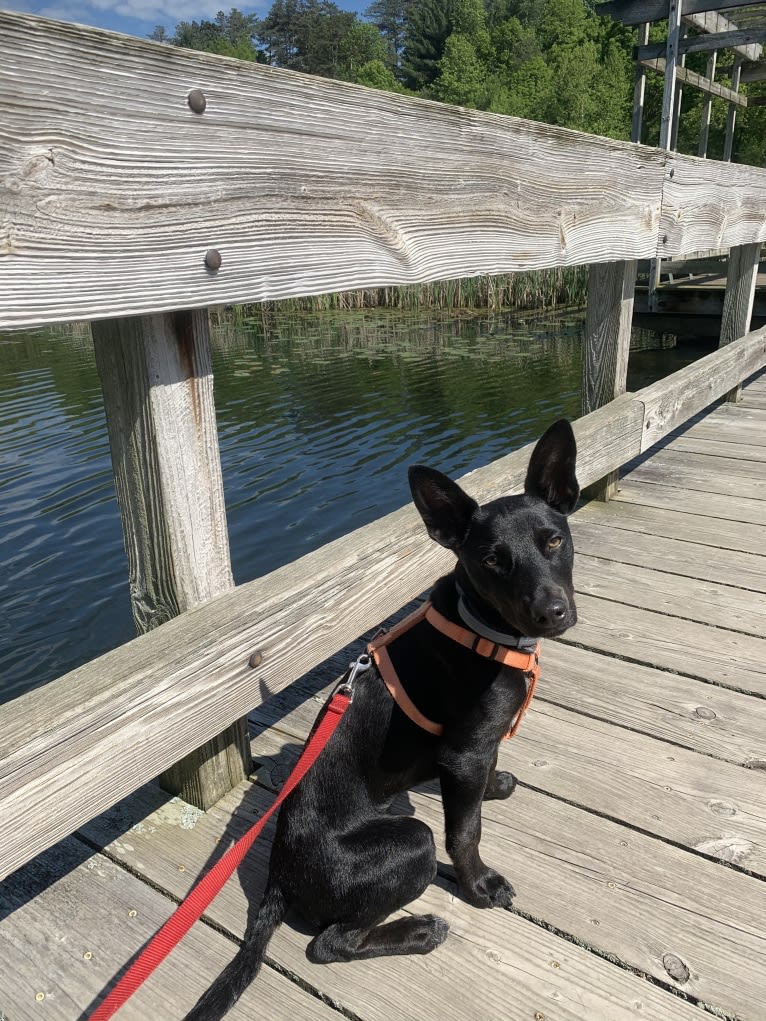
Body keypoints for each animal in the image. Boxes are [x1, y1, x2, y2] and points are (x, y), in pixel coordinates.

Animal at [185, 418, 580, 1016]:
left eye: (553, 540)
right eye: (491, 560)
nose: (551, 613)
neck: (482, 628)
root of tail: (277, 874)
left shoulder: (470, 752)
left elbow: (480, 783)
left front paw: (495, 785)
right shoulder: (463, 752)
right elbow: (465, 831)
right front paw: (479, 886)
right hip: (412, 842)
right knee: (330, 943)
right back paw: (417, 930)